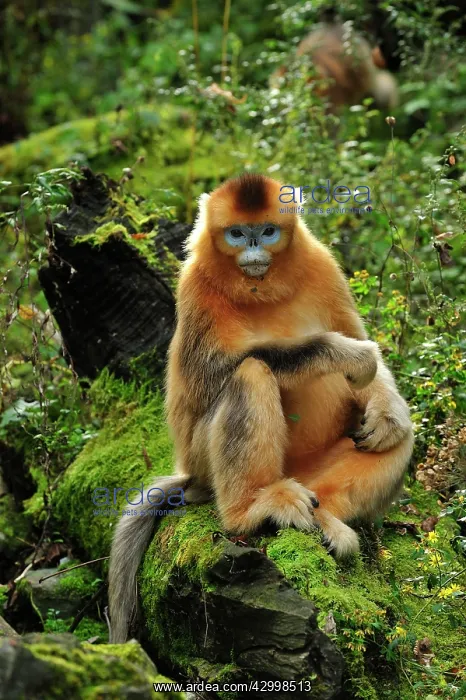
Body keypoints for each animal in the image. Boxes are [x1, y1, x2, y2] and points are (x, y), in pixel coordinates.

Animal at [109, 173, 413, 643]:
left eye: (267, 231)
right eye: (237, 234)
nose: (253, 248)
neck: (261, 288)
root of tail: (190, 473)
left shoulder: (323, 265)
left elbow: (364, 355)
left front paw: (386, 409)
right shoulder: (195, 284)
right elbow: (216, 374)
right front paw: (344, 354)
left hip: (310, 470)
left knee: (397, 440)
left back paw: (328, 518)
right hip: (204, 458)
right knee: (249, 373)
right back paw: (250, 510)